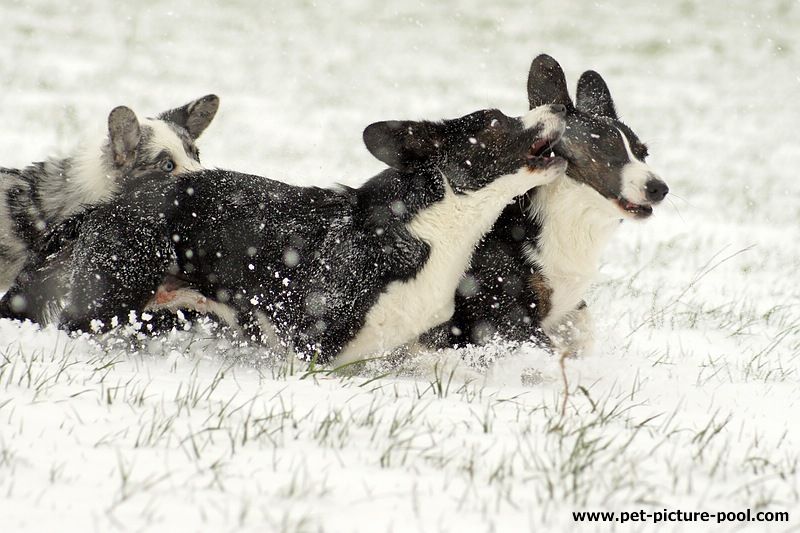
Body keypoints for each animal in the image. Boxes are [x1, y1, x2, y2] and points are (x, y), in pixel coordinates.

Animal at [56, 104, 568, 364]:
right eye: (500, 121)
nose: (558, 106)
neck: (433, 223)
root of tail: (102, 206)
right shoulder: (312, 343)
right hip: (108, 300)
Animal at [422, 54, 669, 356]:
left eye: (644, 154)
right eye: (606, 149)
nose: (660, 189)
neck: (570, 216)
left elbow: (583, 331)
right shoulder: (505, 316)